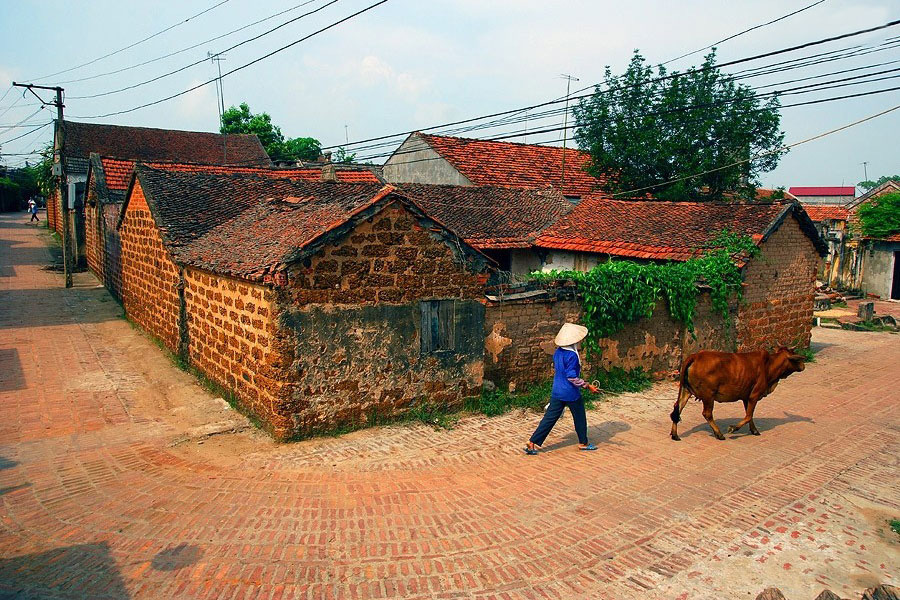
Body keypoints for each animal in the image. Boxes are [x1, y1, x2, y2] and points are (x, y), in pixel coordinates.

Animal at [668, 346, 808, 440]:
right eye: (795, 358)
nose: (803, 365)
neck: (769, 365)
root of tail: (695, 356)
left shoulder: (746, 397)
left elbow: (749, 415)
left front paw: (754, 430)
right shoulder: (754, 395)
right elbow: (748, 416)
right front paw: (733, 428)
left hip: (686, 390)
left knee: (677, 409)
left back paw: (675, 434)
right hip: (708, 395)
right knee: (706, 413)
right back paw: (719, 434)